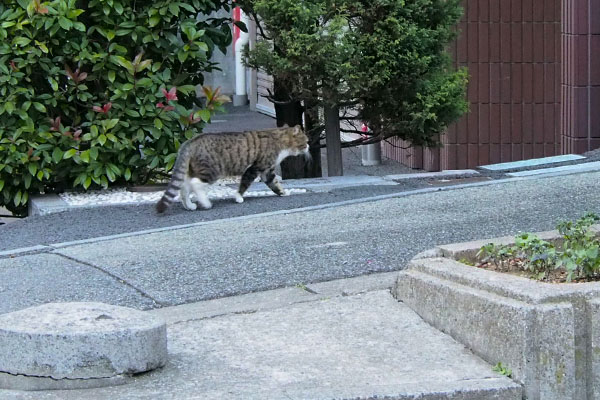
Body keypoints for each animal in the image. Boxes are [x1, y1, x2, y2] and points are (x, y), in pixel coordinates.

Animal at [155, 125, 310, 212]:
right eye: (306, 141)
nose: (309, 146)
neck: (279, 140)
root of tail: (190, 142)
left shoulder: (267, 171)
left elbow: (274, 184)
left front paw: (283, 193)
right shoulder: (255, 167)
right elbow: (244, 184)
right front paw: (238, 197)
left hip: (191, 171)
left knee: (184, 188)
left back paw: (189, 206)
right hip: (212, 170)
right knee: (196, 184)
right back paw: (206, 203)